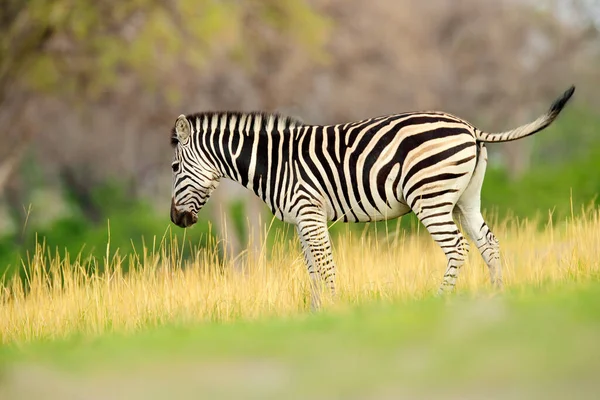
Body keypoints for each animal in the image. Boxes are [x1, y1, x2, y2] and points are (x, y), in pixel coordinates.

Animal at [170, 85, 576, 310]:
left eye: (174, 167)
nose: (176, 219)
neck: (273, 162)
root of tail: (469, 127)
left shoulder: (310, 212)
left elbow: (326, 265)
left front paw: (335, 310)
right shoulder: (301, 220)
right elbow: (311, 269)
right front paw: (315, 312)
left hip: (430, 199)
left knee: (458, 247)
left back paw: (440, 300)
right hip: (465, 199)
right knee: (488, 244)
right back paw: (498, 296)